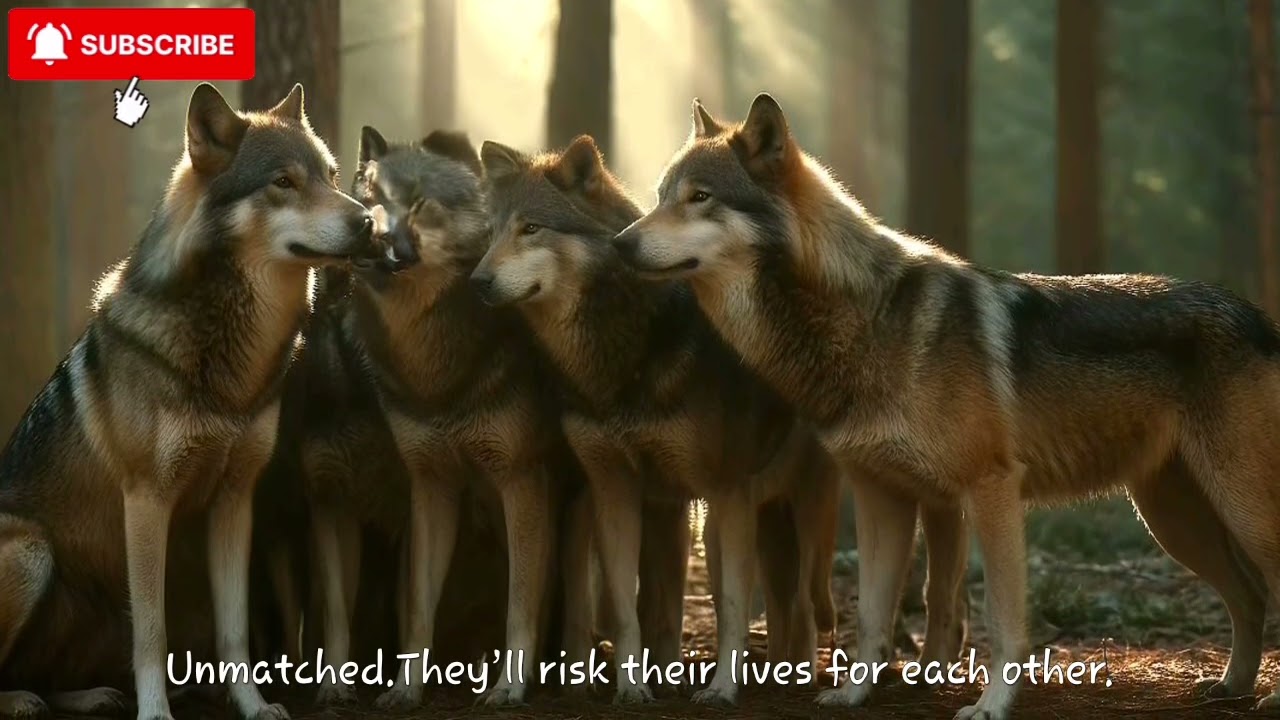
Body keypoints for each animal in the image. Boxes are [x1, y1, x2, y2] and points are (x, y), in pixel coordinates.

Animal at [0, 83, 377, 720]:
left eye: (329, 175)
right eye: (283, 182)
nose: (369, 223)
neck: (231, 369)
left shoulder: (235, 501)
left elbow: (235, 629)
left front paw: (252, 705)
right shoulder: (147, 501)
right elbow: (153, 633)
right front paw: (155, 712)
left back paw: (87, 695)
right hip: (32, 551)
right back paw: (24, 700)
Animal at [472, 135, 964, 706]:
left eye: (531, 228)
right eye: (492, 232)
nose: (477, 281)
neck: (623, 357)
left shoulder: (722, 492)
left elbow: (728, 608)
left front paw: (720, 689)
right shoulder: (619, 490)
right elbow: (631, 609)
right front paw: (635, 688)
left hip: (803, 512)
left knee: (820, 602)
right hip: (752, 518)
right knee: (784, 602)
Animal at [613, 92, 1280, 719]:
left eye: (699, 197)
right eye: (661, 195)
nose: (620, 245)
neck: (867, 318)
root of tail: (1258, 317)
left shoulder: (991, 490)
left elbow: (999, 619)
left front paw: (991, 705)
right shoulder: (880, 497)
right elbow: (873, 616)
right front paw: (854, 695)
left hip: (1231, 511)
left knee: (1261, 588)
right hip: (1173, 519)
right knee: (1249, 598)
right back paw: (1231, 687)